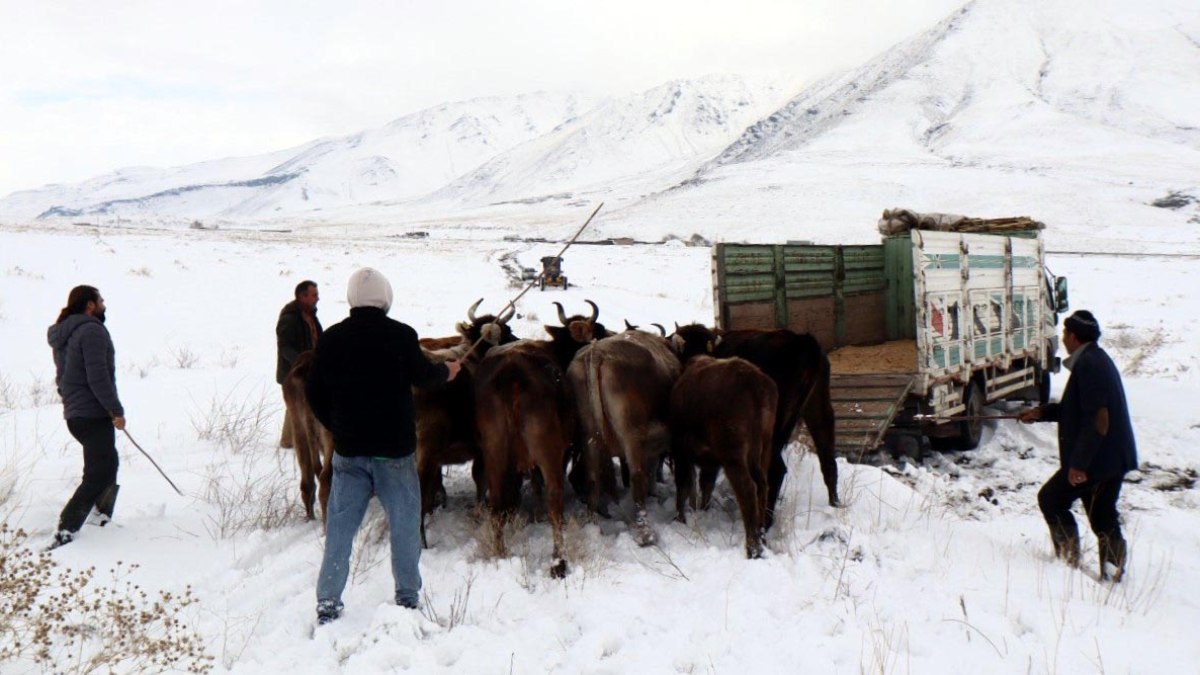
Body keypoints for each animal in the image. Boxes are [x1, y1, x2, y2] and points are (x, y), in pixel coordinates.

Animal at [566, 326, 681, 540]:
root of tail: (597, 353)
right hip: (631, 435)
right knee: (637, 475)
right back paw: (645, 532)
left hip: (589, 436)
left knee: (592, 477)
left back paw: (594, 526)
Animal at [667, 353, 777, 557]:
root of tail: (755, 383)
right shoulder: (710, 463)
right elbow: (705, 485)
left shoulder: (681, 452)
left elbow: (683, 485)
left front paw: (680, 519)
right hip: (764, 448)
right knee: (762, 486)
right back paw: (762, 538)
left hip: (733, 456)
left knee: (748, 489)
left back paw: (753, 548)